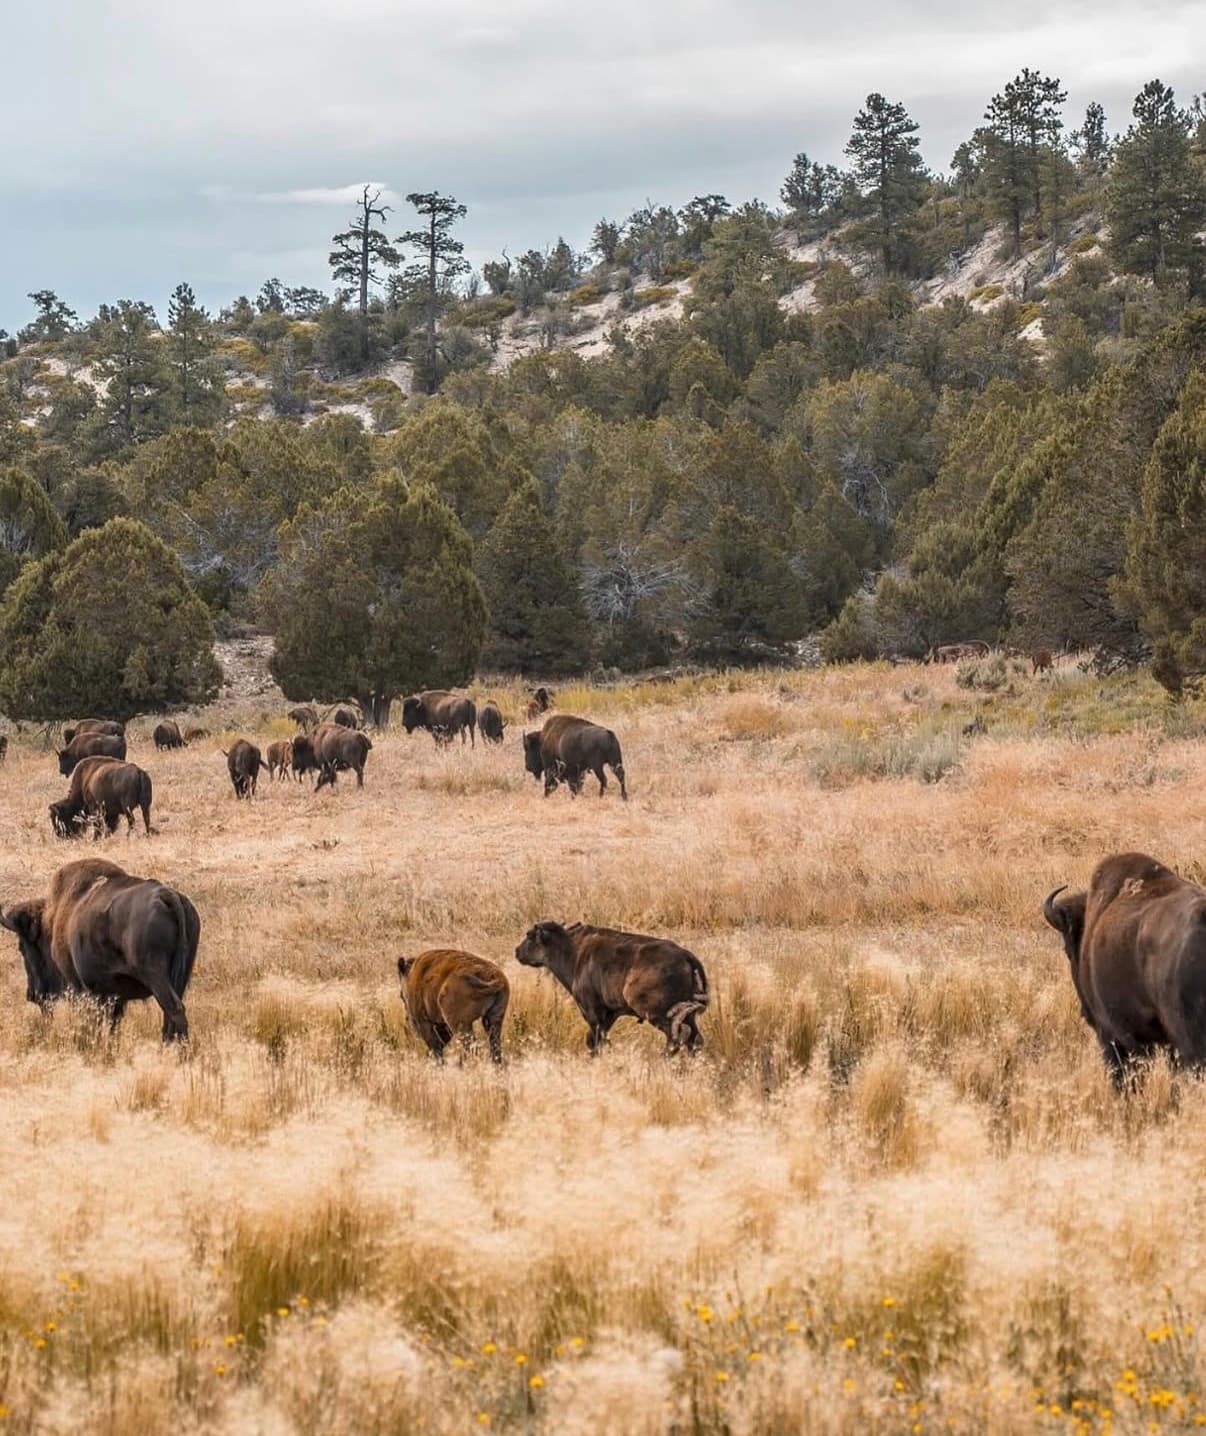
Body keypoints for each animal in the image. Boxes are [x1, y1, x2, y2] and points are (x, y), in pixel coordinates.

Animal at [1, 857, 199, 1040]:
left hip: (155, 975)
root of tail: (168, 896)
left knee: (174, 1009)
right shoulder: (115, 997)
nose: (32, 995)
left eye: (22, 947)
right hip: (180, 977)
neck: (53, 921)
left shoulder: (82, 988)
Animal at [515, 921, 707, 1054]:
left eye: (530, 936)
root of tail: (685, 955)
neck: (572, 951)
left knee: (677, 1035)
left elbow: (595, 1039)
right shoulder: (609, 1014)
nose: (517, 951)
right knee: (694, 1038)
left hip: (656, 1013)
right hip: (689, 1015)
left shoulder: (592, 1012)